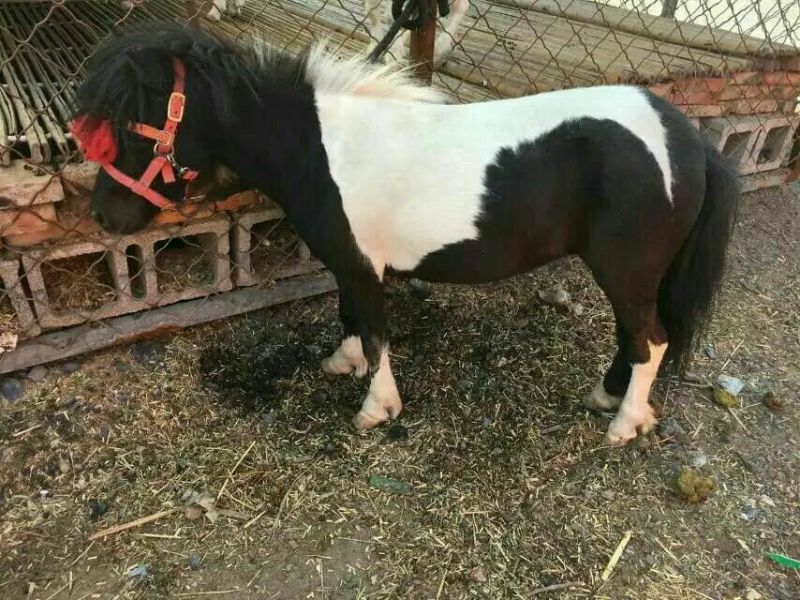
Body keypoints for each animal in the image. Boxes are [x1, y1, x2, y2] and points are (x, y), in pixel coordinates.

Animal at [71, 24, 739, 446]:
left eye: (132, 124)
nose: (102, 218)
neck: (322, 147)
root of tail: (688, 138)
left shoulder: (363, 264)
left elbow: (373, 331)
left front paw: (377, 408)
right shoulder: (347, 262)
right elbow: (348, 317)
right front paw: (340, 363)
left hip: (626, 269)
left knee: (650, 340)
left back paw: (623, 424)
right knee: (637, 338)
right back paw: (607, 397)